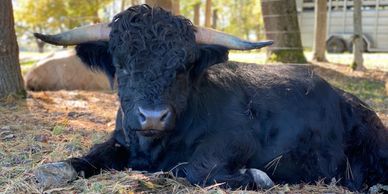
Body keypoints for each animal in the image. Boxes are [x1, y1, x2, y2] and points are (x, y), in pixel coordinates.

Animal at [34, 4, 386, 191]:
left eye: (183, 66)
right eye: (121, 65)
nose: (152, 116)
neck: (153, 147)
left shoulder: (237, 138)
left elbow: (196, 168)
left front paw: (256, 176)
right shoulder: (121, 138)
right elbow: (89, 156)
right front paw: (54, 169)